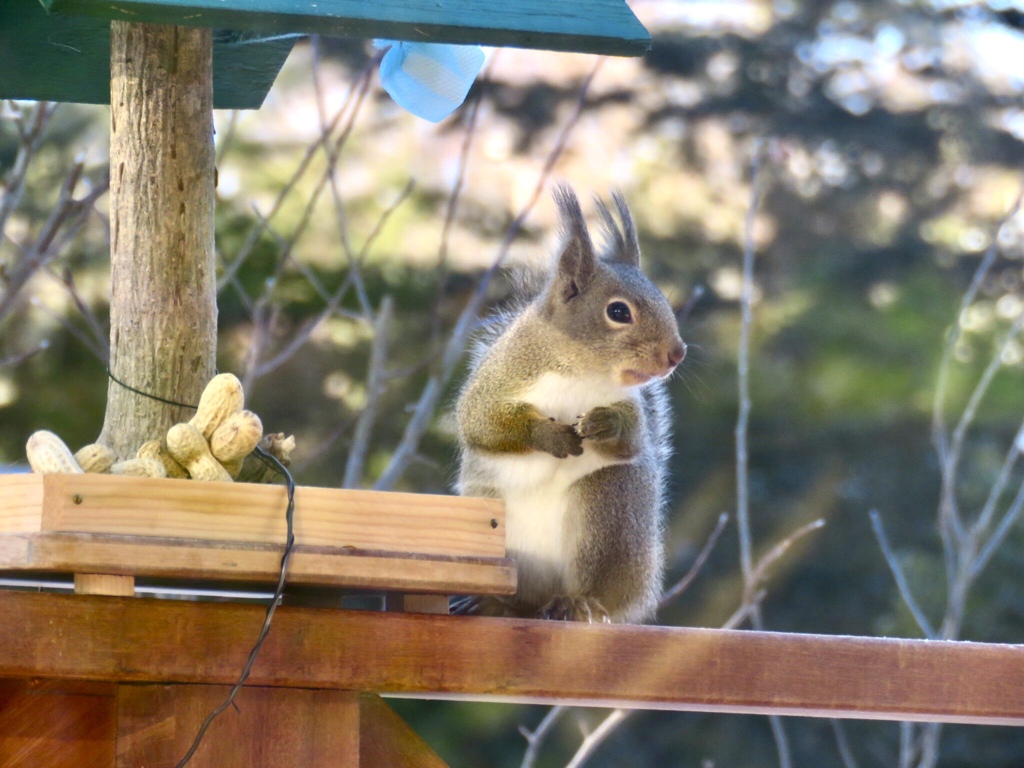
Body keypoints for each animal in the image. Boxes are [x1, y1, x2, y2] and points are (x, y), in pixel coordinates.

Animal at [454, 188, 679, 626]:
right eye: (618, 311)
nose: (676, 354)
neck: (579, 369)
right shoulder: (500, 379)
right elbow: (481, 422)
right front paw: (548, 435)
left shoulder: (631, 407)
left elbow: (633, 441)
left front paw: (607, 424)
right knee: (518, 602)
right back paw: (493, 604)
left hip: (608, 509)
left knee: (593, 589)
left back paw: (578, 604)